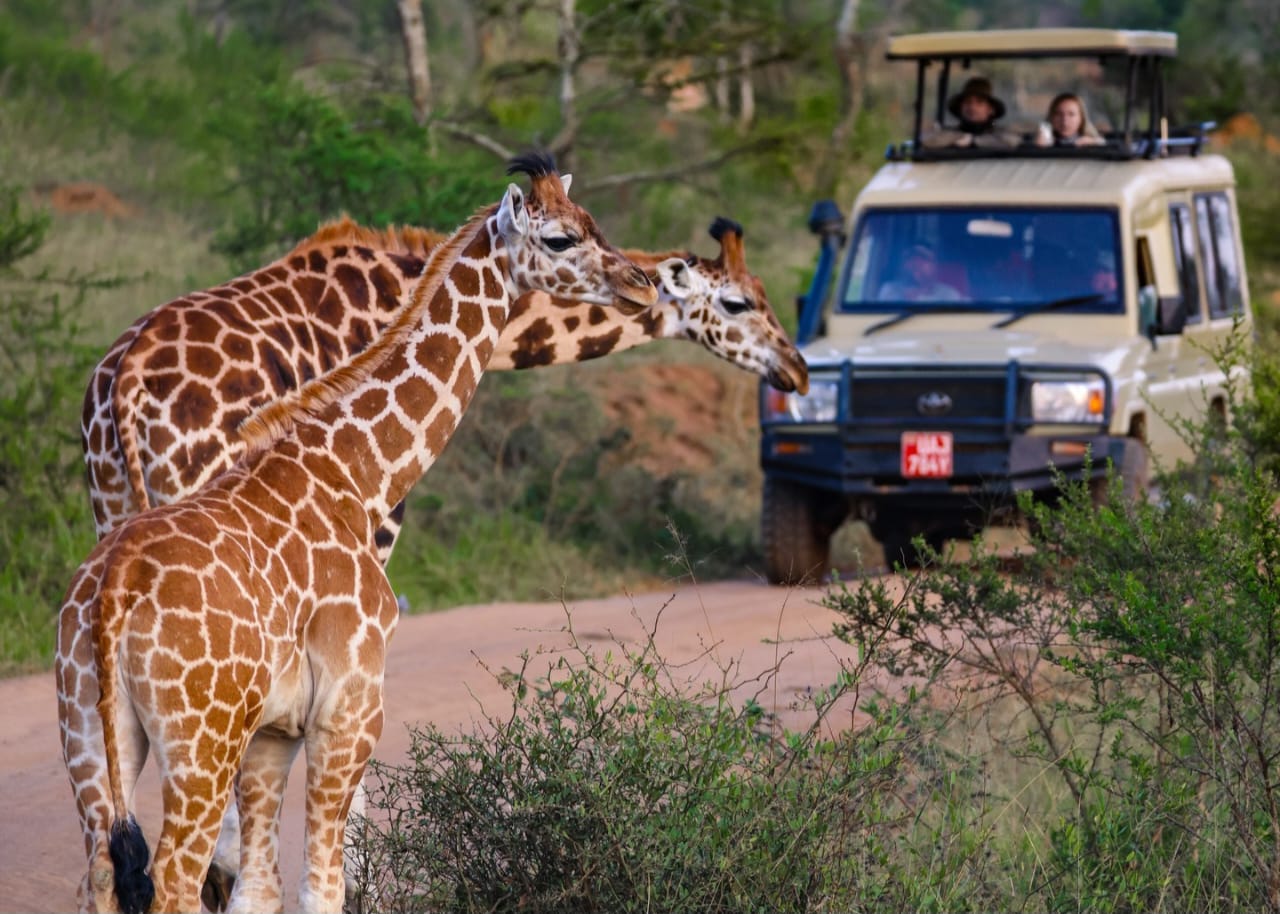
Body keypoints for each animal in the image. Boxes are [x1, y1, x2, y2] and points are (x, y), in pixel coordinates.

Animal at [56, 152, 657, 914]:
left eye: (593, 223)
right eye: (559, 238)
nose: (641, 285)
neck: (357, 473)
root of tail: (111, 596)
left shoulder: (271, 735)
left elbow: (261, 889)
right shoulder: (350, 705)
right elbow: (323, 887)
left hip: (91, 733)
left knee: (102, 875)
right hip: (199, 744)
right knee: (173, 881)